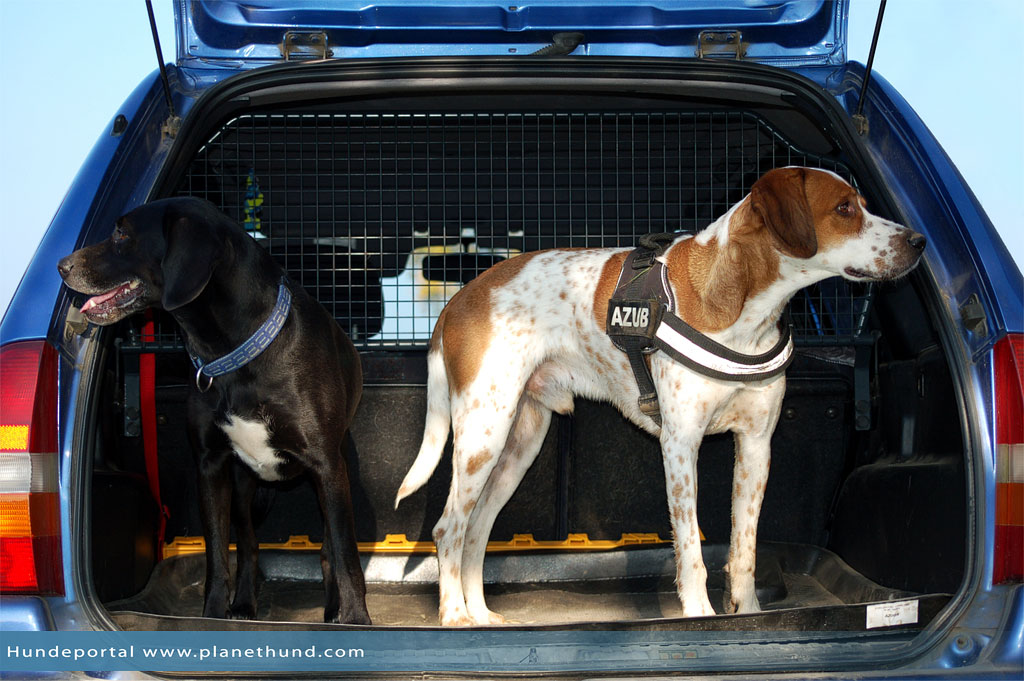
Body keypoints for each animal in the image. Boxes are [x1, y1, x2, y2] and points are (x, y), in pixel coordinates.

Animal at [58, 195, 370, 622]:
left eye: (121, 233)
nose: (62, 266)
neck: (235, 353)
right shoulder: (211, 465)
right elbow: (219, 554)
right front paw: (214, 613)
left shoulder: (326, 466)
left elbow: (345, 554)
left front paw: (356, 619)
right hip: (243, 485)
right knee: (249, 544)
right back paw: (244, 604)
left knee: (328, 549)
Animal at [395, 164, 925, 622]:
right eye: (843, 208)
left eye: (863, 204)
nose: (919, 241)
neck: (743, 314)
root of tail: (460, 299)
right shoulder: (680, 444)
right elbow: (690, 550)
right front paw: (700, 618)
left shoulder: (756, 447)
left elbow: (744, 551)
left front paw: (749, 617)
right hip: (483, 435)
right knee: (448, 530)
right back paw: (454, 617)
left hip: (519, 443)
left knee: (476, 532)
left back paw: (481, 616)